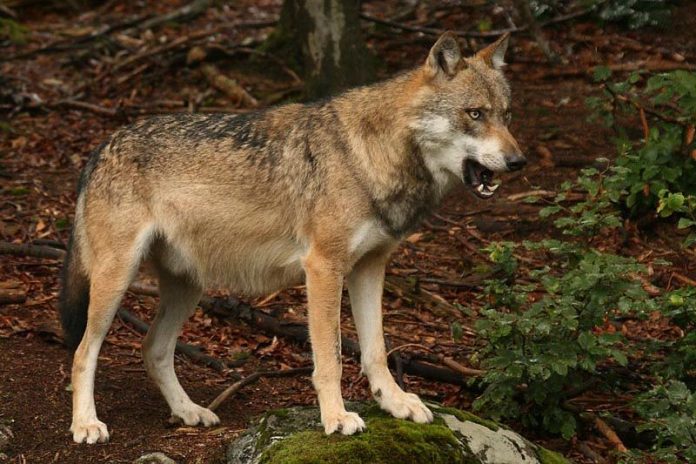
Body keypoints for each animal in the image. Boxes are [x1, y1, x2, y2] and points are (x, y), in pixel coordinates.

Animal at [59, 31, 525, 444]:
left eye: (506, 114)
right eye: (475, 114)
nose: (518, 161)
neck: (371, 156)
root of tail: (100, 147)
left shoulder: (370, 268)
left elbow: (375, 350)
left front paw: (394, 403)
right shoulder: (323, 268)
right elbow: (331, 358)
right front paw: (336, 418)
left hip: (188, 287)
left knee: (153, 349)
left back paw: (189, 411)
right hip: (117, 279)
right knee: (83, 352)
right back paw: (86, 425)